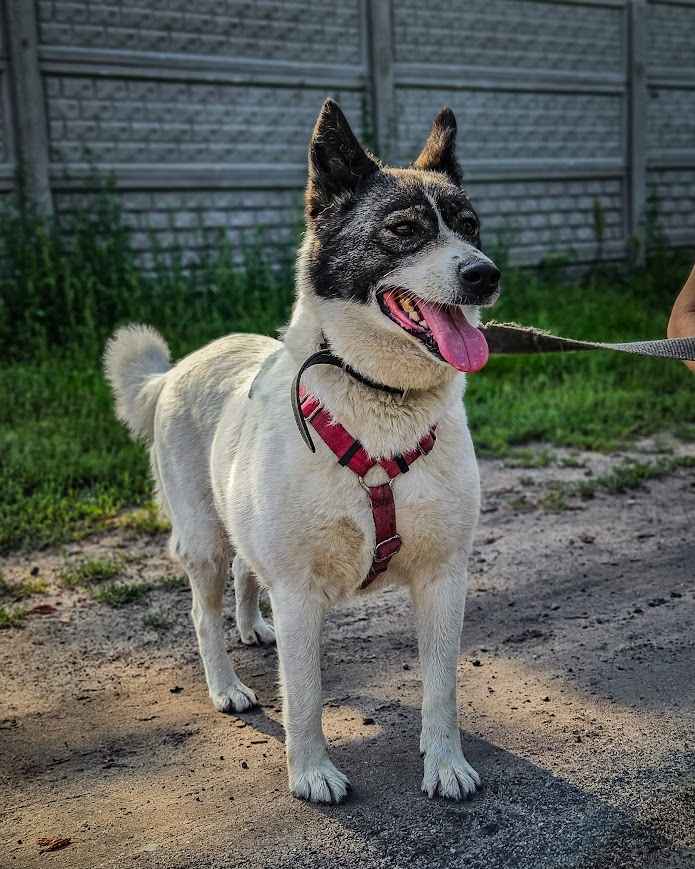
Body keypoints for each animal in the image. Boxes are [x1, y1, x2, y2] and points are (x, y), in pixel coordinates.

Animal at [104, 98, 500, 804]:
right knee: (203, 612)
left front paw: (445, 762)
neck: (379, 401)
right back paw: (227, 686)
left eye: (470, 227)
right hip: (202, 536)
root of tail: (176, 369)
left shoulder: (443, 578)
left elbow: (442, 689)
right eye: (403, 229)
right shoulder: (297, 590)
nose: (485, 274)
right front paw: (312, 772)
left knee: (243, 570)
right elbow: (306, 695)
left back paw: (250, 626)